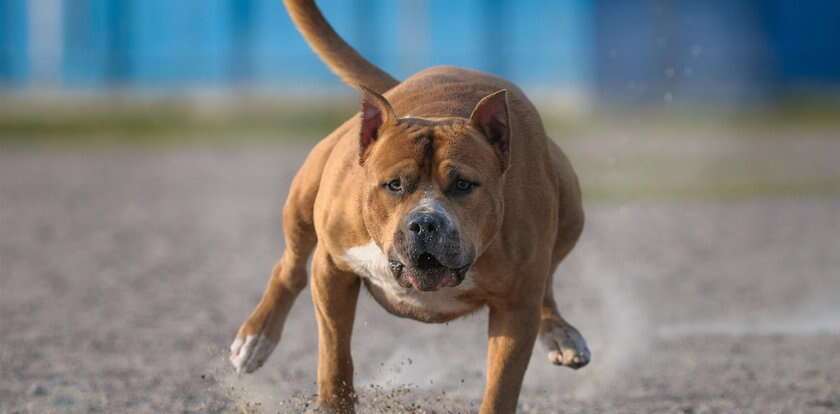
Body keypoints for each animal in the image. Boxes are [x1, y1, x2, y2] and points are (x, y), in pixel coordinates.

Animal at [230, 1, 592, 412]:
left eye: (464, 184)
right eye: (394, 184)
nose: (425, 223)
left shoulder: (515, 307)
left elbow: (501, 388)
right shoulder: (332, 269)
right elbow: (335, 359)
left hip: (570, 205)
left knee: (547, 278)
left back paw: (560, 333)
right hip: (304, 196)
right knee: (289, 268)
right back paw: (255, 339)